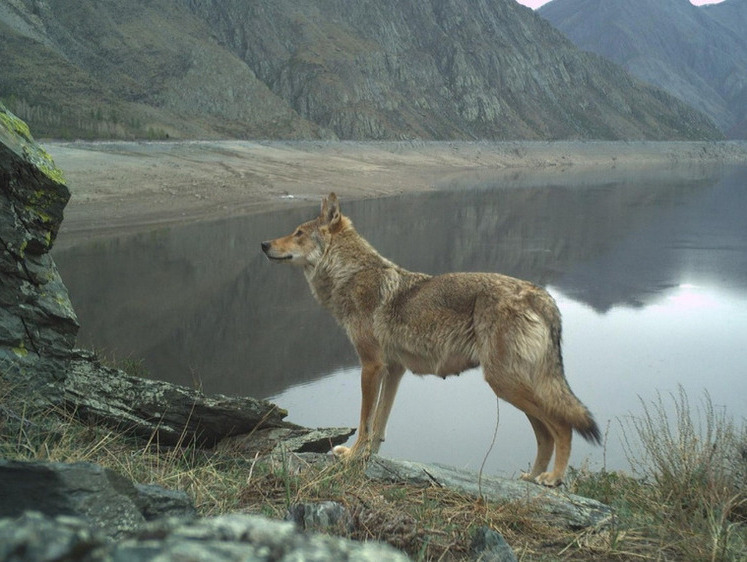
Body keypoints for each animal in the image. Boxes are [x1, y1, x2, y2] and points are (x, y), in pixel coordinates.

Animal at [262, 194, 600, 486]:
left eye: (298, 232)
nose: (264, 243)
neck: (351, 275)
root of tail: (542, 296)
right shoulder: (393, 370)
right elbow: (379, 424)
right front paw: (369, 457)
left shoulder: (371, 366)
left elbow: (365, 420)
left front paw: (353, 456)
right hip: (512, 385)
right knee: (545, 433)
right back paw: (532, 478)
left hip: (505, 383)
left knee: (561, 426)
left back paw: (553, 478)